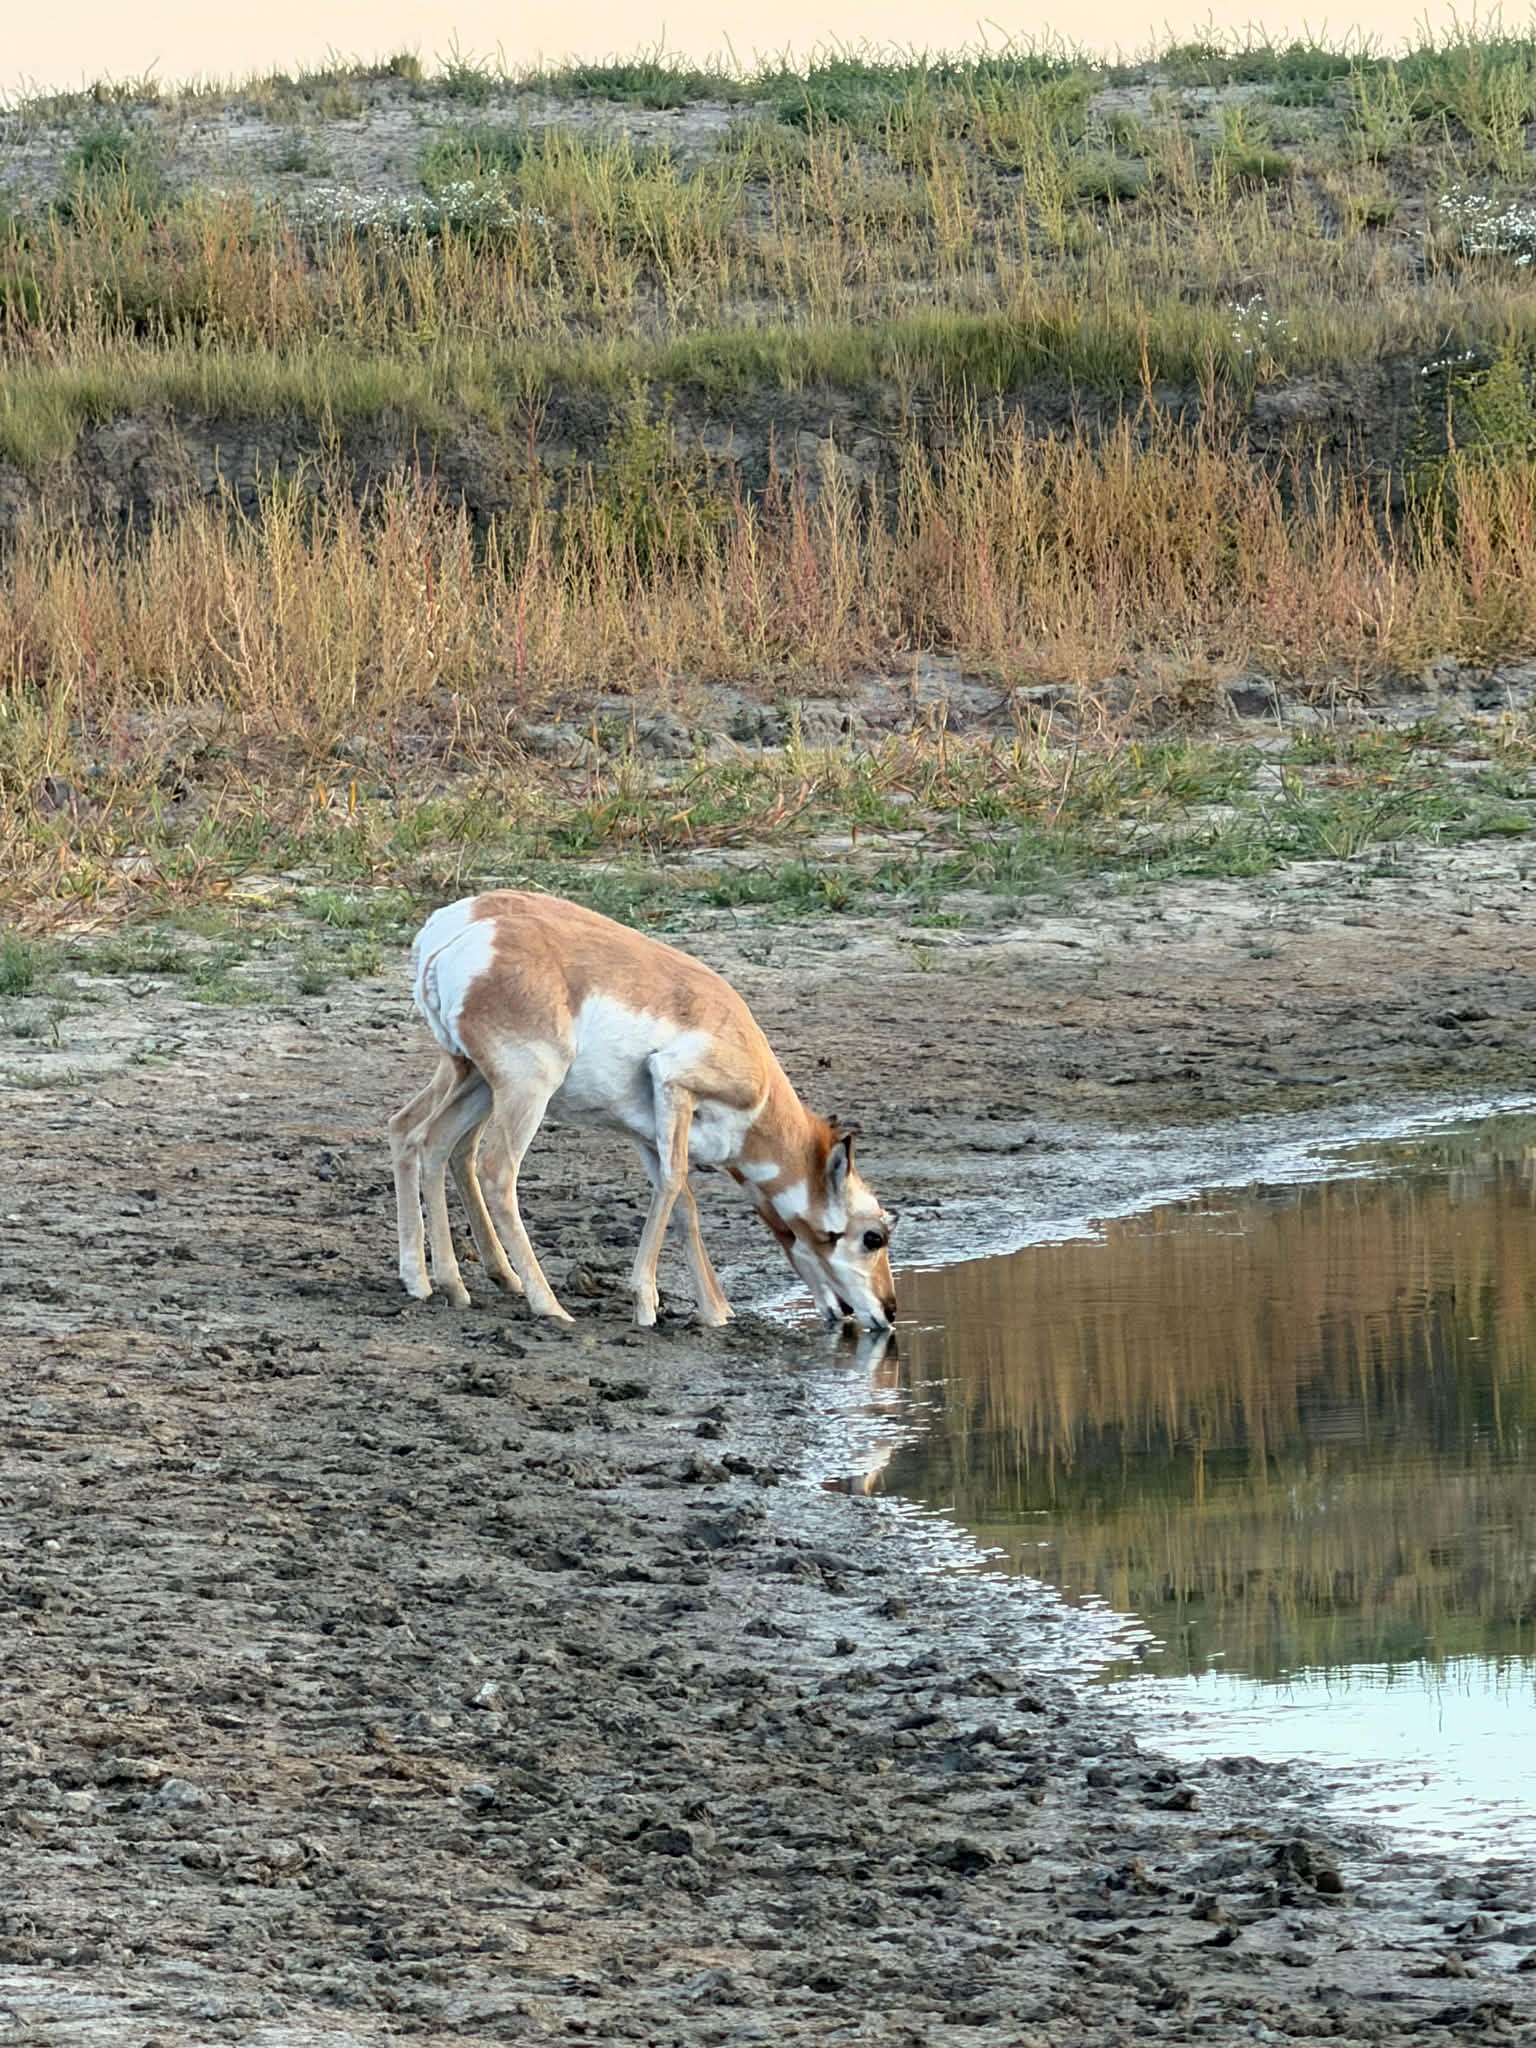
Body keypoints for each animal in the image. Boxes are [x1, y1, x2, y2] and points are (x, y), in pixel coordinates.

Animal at [389, 891, 899, 1332]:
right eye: (873, 1236)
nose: (890, 1311)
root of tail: (454, 940)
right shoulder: (674, 1084)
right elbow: (675, 1186)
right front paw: (646, 1302)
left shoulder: (648, 1135)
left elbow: (682, 1202)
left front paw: (716, 1311)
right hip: (524, 1090)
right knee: (494, 1170)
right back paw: (547, 1304)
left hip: (472, 1076)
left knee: (422, 1135)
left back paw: (441, 1284)